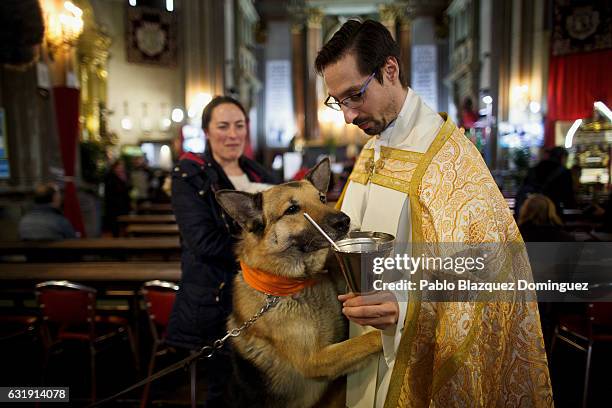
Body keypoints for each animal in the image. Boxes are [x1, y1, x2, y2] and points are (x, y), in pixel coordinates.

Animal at [216, 159, 382, 408]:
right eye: (292, 210)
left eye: (322, 198)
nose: (344, 221)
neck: (293, 285)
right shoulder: (315, 360)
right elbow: (367, 339)